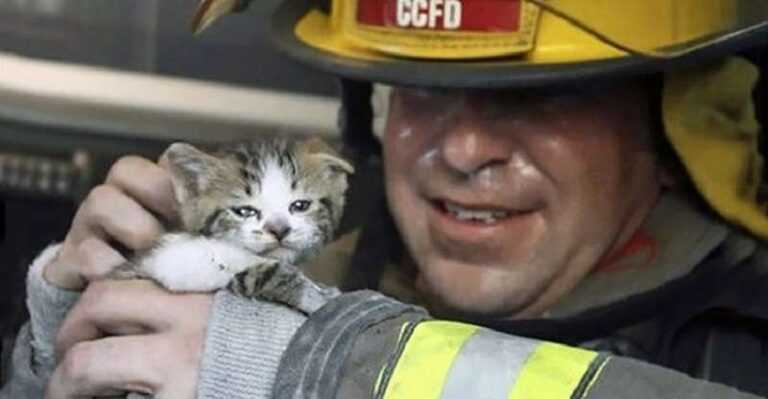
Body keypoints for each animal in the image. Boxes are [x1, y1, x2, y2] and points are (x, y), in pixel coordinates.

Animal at [109, 138, 354, 312]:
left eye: (300, 205)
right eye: (245, 211)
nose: (279, 230)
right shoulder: (175, 260)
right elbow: (256, 269)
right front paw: (317, 298)